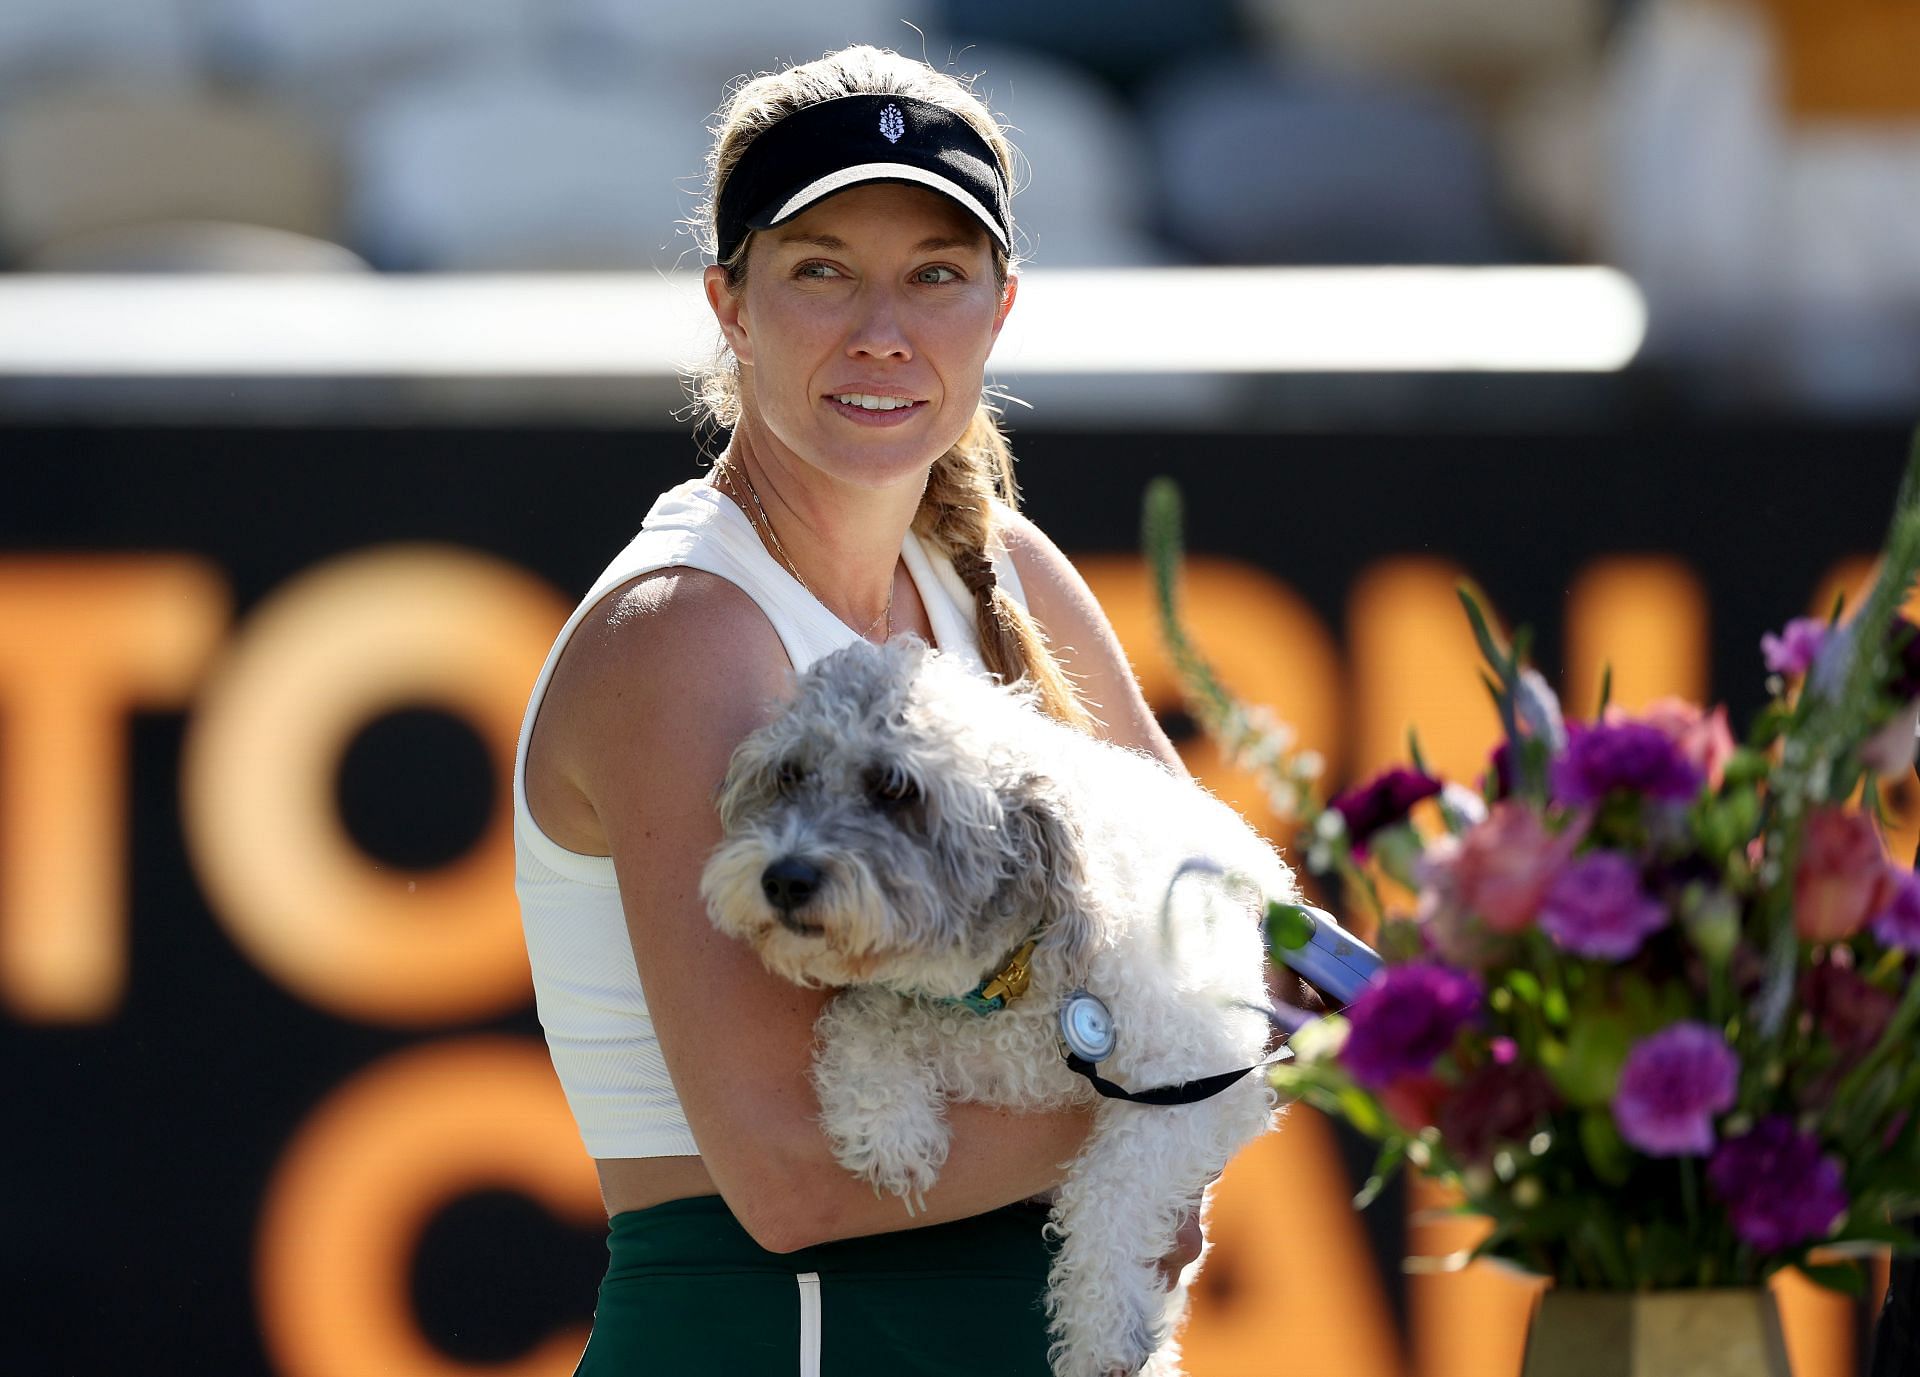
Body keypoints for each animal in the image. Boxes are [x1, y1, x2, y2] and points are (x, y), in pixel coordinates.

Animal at [698, 637, 1297, 1375]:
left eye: (896, 789)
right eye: (791, 774)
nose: (784, 877)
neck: (1010, 977)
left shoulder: (1197, 1082)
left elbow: (1112, 1192)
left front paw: (1099, 1330)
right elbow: (865, 1020)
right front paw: (888, 1127)